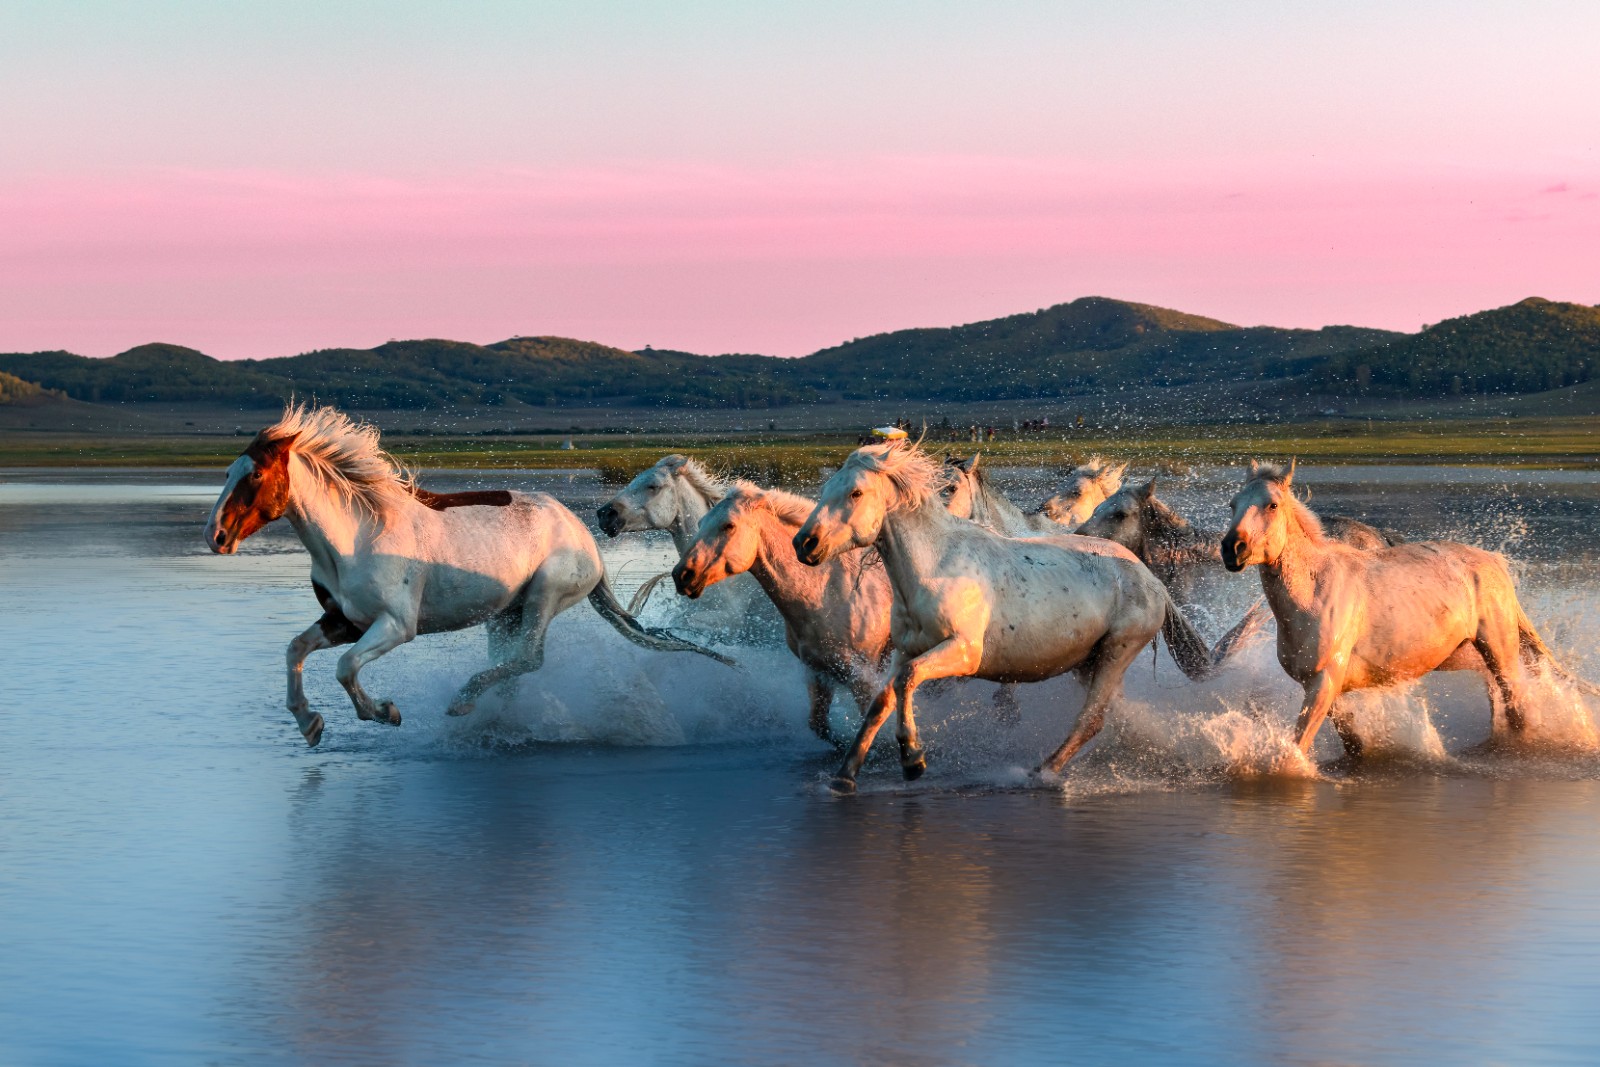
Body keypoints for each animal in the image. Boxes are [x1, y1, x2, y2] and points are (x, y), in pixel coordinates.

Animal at [208, 404, 732, 748]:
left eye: (255, 476)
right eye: (230, 471)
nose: (216, 536)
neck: (354, 536)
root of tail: (586, 533)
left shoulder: (395, 626)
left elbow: (345, 668)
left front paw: (384, 712)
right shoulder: (346, 622)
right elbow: (295, 650)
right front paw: (310, 725)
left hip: (544, 596)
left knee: (530, 659)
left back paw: (462, 701)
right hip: (504, 614)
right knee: (513, 665)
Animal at [662, 483, 896, 742]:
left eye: (728, 525)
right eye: (702, 523)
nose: (682, 575)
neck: (828, 596)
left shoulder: (862, 677)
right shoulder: (817, 672)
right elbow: (820, 726)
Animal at [793, 441, 1216, 793]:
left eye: (856, 492)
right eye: (829, 487)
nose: (804, 543)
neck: (935, 565)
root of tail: (1150, 578)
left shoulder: (963, 654)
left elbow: (907, 681)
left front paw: (913, 759)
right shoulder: (906, 651)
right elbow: (883, 699)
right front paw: (845, 776)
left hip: (1118, 651)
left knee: (1092, 718)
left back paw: (1041, 771)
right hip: (1089, 662)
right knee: (1118, 716)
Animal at [1222, 463, 1587, 764]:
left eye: (1272, 504)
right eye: (1233, 504)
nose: (1231, 549)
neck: (1315, 591)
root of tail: (1495, 562)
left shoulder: (1325, 681)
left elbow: (1294, 750)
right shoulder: (1319, 686)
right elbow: (1353, 743)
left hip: (1501, 654)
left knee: (1519, 712)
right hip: (1474, 658)